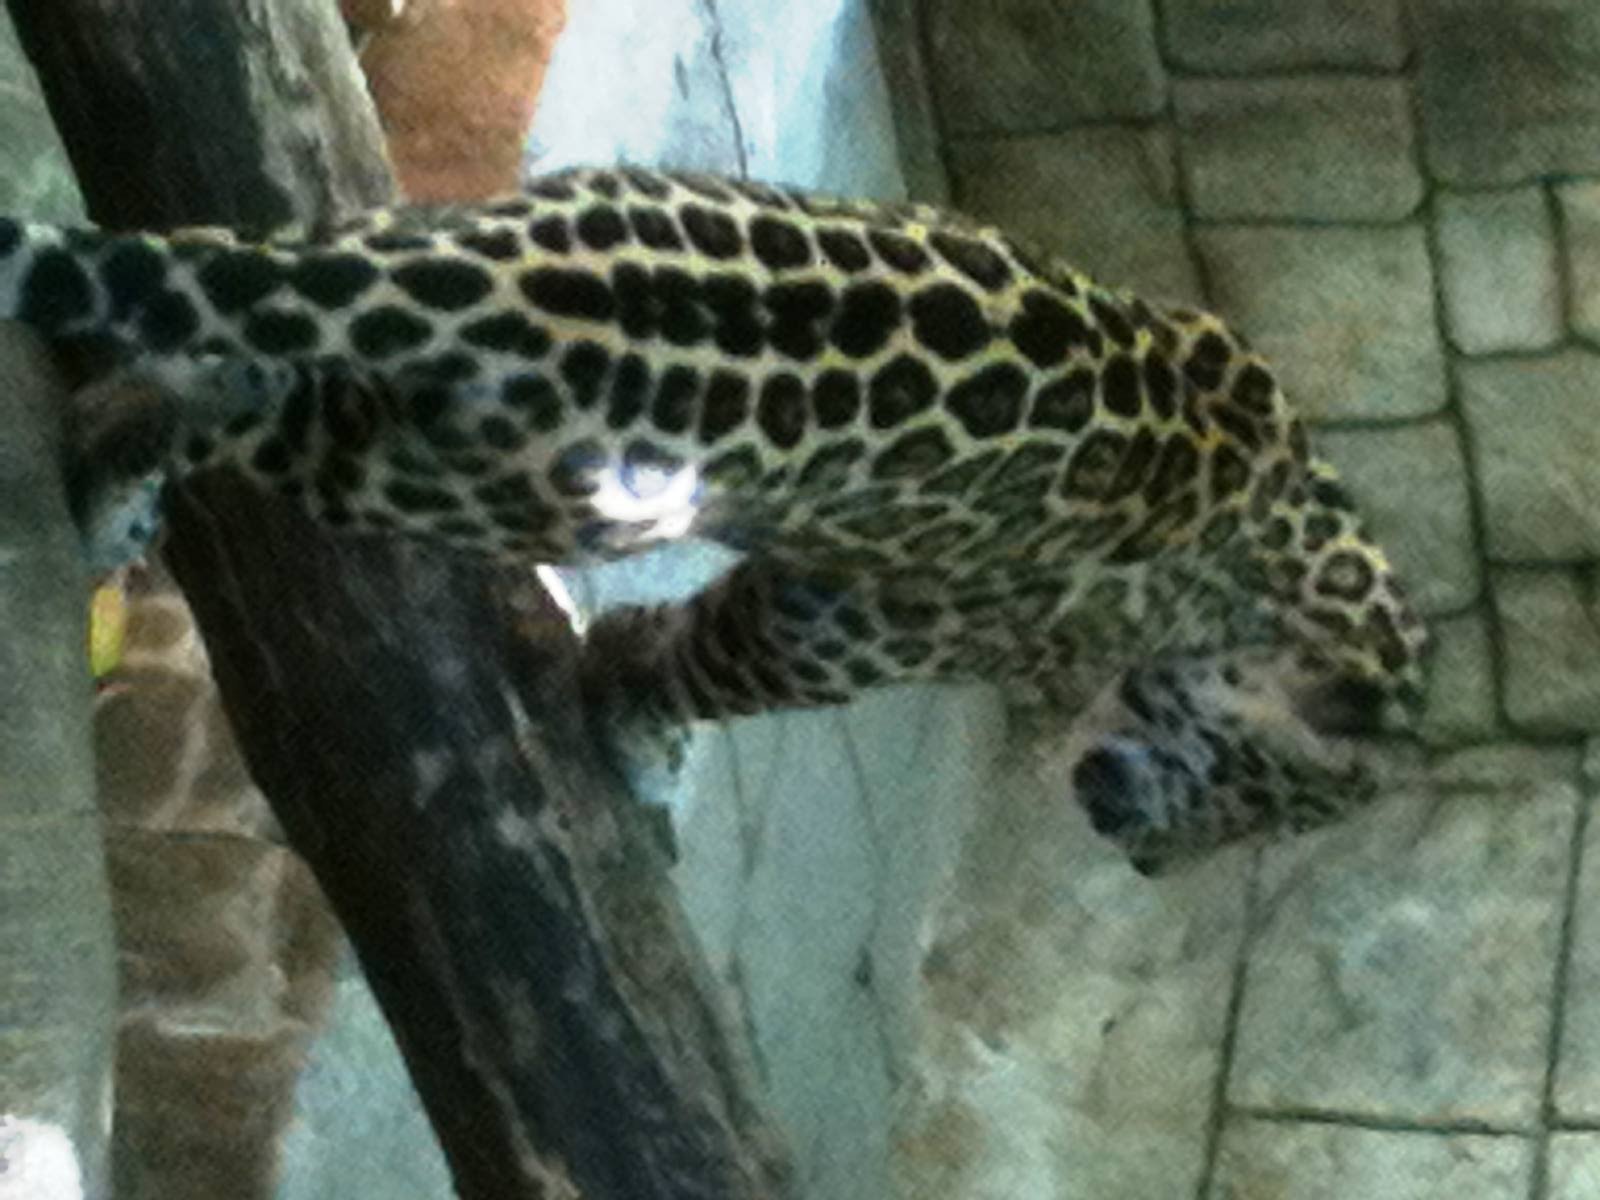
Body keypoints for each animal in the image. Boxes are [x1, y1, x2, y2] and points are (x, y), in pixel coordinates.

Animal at [0, 164, 1428, 876]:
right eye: (1265, 801)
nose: (1151, 872)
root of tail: (497, 276)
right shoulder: (835, 626)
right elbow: (687, 664)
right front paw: (641, 735)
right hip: (504, 489)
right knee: (224, 397)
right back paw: (104, 483)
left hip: (405, 282)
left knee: (231, 344)